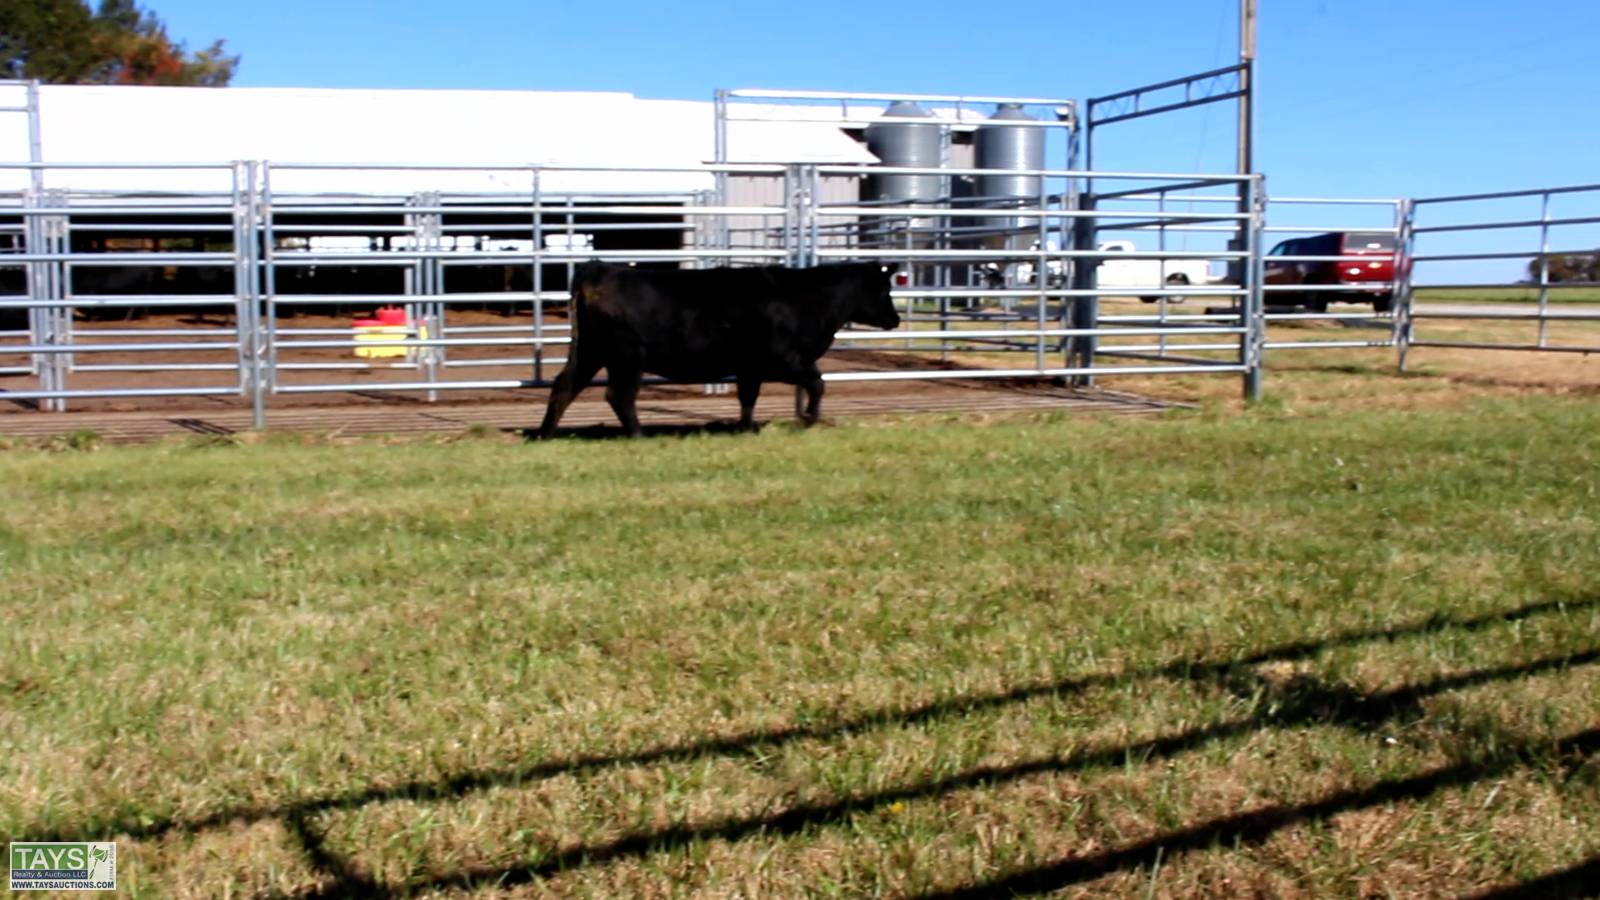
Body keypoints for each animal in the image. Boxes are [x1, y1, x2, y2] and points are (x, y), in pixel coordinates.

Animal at [537, 261, 901, 438]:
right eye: (883, 288)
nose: (896, 318)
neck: (807, 299)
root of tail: (601, 269)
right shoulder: (784, 360)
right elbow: (818, 383)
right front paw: (809, 419)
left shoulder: (750, 368)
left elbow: (748, 398)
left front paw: (746, 428)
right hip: (628, 357)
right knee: (619, 396)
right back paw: (639, 435)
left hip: (591, 352)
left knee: (563, 386)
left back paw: (546, 434)